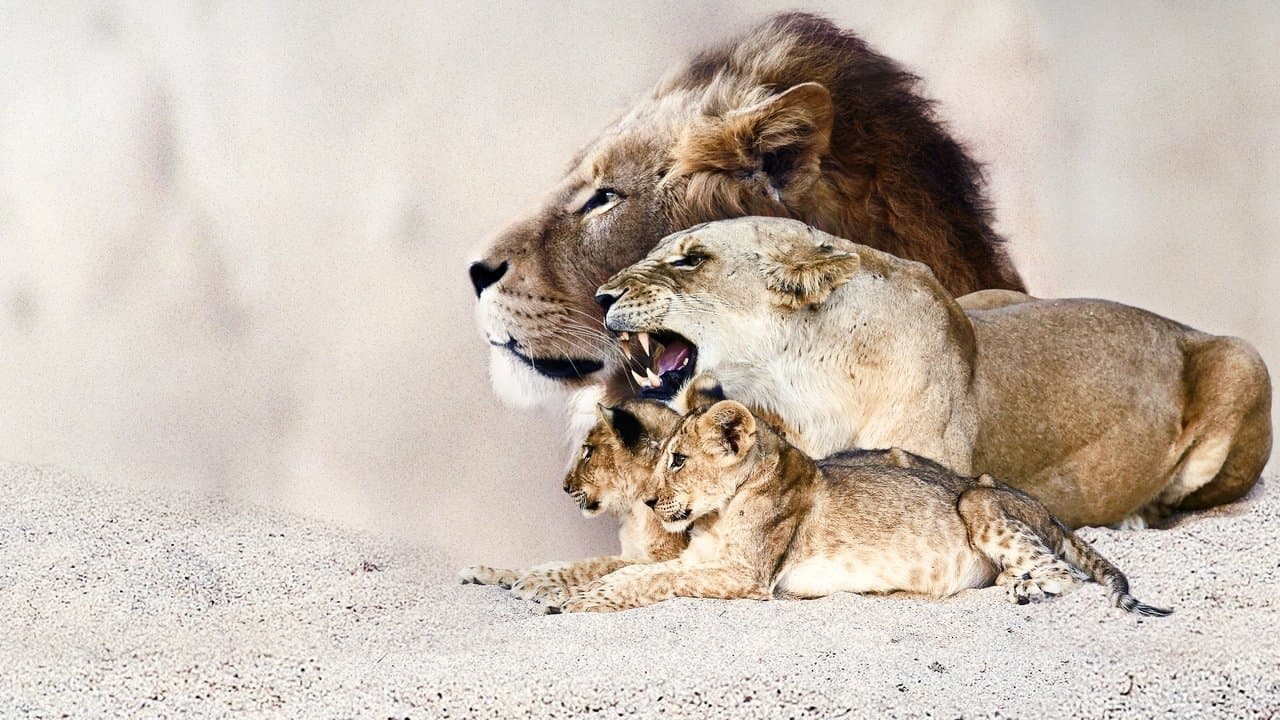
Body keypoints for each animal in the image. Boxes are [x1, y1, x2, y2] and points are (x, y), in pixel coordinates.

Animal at [555, 398, 1170, 616]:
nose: (650, 499)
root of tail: (1046, 509)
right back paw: (1013, 587)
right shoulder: (695, 558)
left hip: (976, 500)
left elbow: (659, 580)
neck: (717, 514)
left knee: (1066, 576)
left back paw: (1029, 591)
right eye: (661, 459)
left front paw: (586, 601)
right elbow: (638, 571)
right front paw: (582, 592)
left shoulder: (748, 576)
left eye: (678, 460)